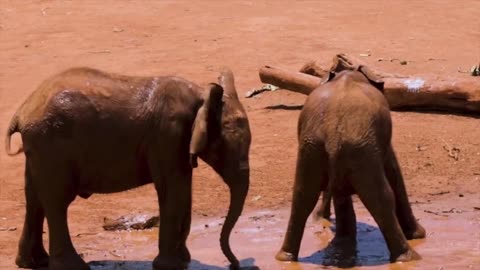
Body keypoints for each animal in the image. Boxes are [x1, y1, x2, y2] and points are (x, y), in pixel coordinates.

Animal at [6, 66, 251, 270]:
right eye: (226, 146)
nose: (235, 265)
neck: (202, 95)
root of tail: (22, 112)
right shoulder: (167, 135)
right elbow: (172, 188)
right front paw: (172, 266)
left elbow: (182, 188)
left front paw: (184, 261)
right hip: (52, 145)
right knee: (57, 201)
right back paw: (72, 267)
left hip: (40, 148)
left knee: (34, 198)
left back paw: (34, 263)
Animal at [276, 66, 426, 264]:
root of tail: (332, 136)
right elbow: (393, 171)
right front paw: (419, 235)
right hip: (359, 150)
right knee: (381, 197)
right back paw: (409, 258)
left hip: (314, 148)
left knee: (302, 196)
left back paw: (287, 257)